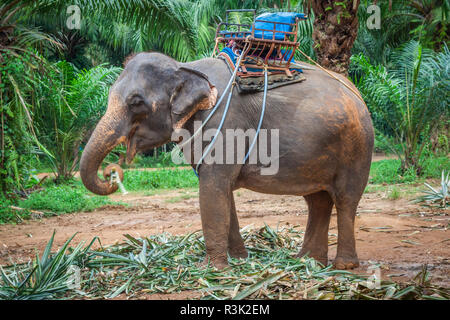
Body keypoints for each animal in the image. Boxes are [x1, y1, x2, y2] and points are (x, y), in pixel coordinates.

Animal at [79, 52, 374, 270]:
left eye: (136, 102)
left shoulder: (225, 124)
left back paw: (343, 266)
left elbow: (213, 187)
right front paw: (239, 260)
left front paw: (210, 270)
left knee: (345, 199)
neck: (186, 67)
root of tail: (358, 95)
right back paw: (307, 262)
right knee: (318, 200)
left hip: (357, 148)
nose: (112, 172)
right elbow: (222, 191)